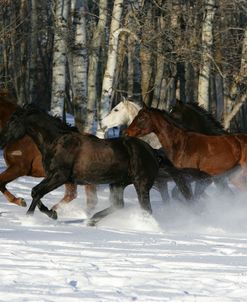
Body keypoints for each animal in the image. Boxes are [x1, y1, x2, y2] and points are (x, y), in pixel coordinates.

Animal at [0, 105, 195, 225]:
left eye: (13, 122)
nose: (2, 140)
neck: (58, 141)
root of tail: (153, 152)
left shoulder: (59, 177)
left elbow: (36, 192)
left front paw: (30, 218)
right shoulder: (53, 177)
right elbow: (37, 193)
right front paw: (51, 214)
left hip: (141, 184)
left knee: (146, 209)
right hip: (117, 183)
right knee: (118, 205)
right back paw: (92, 221)